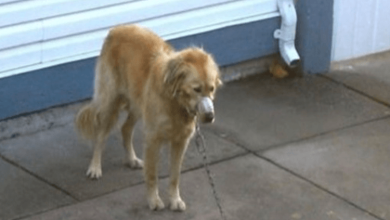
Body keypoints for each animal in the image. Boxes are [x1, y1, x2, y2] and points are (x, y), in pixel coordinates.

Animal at [75, 24, 222, 211]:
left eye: (211, 89)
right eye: (196, 89)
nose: (210, 116)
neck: (175, 101)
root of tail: (117, 29)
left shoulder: (181, 142)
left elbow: (175, 175)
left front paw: (174, 199)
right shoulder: (153, 139)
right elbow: (152, 174)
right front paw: (154, 200)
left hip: (138, 104)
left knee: (125, 128)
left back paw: (131, 159)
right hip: (110, 101)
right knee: (101, 135)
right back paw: (95, 167)